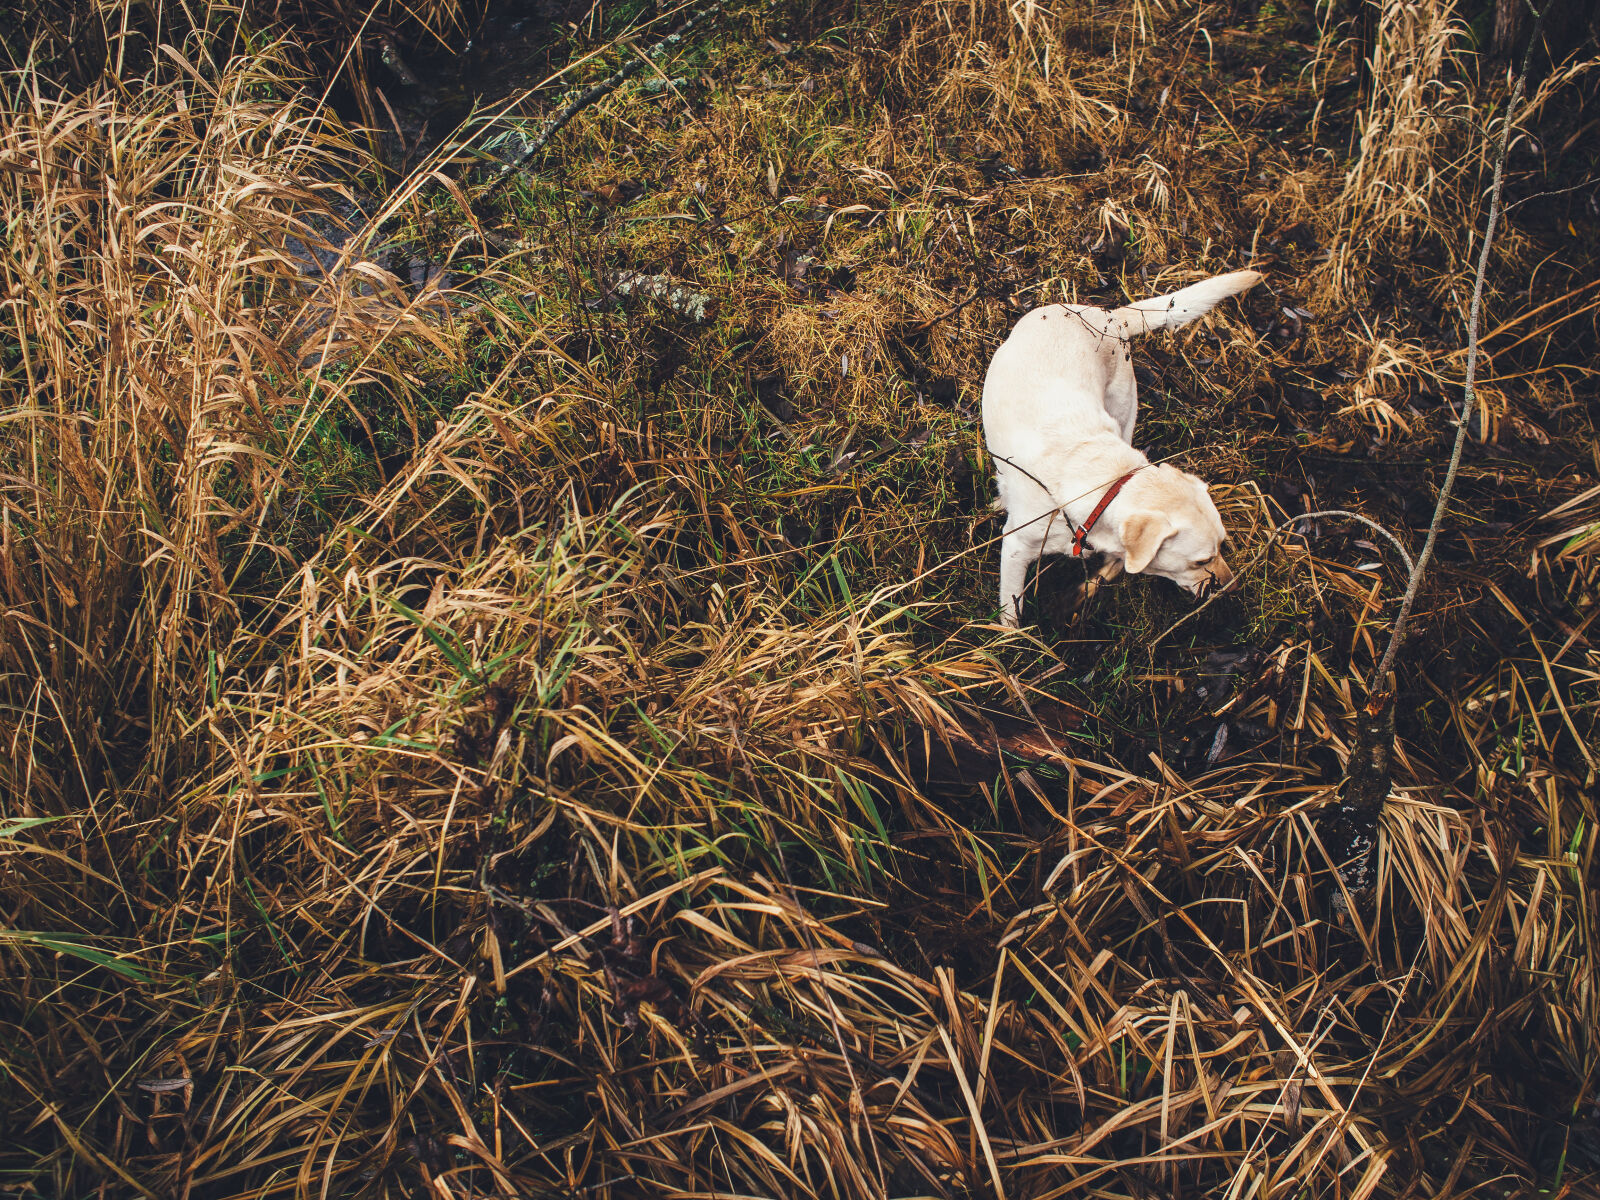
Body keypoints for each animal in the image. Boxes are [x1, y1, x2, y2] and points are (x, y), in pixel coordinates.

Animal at [979, 272, 1254, 630]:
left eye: (1223, 545)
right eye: (1201, 560)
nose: (1232, 588)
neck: (1104, 485)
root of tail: (1109, 314)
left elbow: (1112, 567)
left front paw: (1077, 597)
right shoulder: (1015, 548)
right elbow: (1011, 611)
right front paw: (1011, 639)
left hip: (1124, 409)